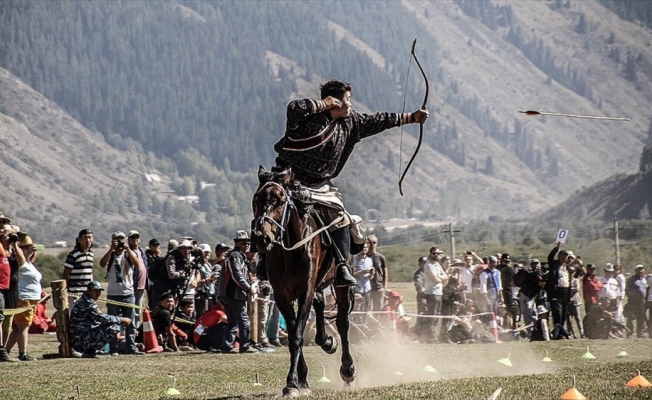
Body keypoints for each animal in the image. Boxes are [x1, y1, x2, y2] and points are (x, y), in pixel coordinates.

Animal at [251, 166, 354, 396]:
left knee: (342, 323)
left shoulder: (304, 290)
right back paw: (326, 342)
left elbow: (297, 335)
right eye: (256, 199)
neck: (292, 251)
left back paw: (347, 369)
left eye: (280, 200)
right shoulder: (282, 296)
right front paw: (301, 381)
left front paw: (292, 383)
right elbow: (292, 335)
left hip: (339, 285)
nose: (262, 238)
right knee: (321, 305)